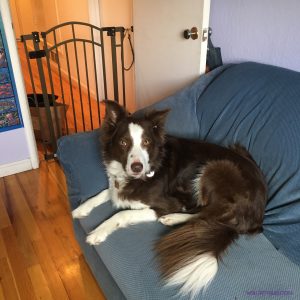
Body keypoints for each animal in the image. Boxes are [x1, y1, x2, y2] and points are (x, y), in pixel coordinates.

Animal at [72, 100, 268, 296]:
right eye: (123, 142)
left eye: (146, 142)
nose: (137, 167)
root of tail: (256, 217)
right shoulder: (118, 187)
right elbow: (107, 192)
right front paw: (82, 208)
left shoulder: (169, 203)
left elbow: (123, 213)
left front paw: (98, 231)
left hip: (216, 168)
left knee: (205, 214)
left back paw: (173, 218)